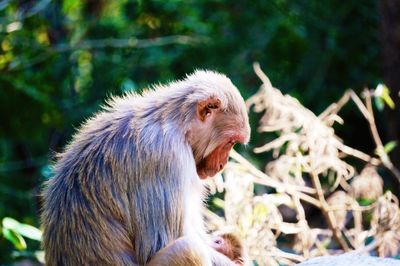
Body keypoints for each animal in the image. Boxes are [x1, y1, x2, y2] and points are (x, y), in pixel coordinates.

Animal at [42, 69, 252, 264]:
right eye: (230, 142)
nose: (222, 164)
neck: (176, 123)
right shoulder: (168, 157)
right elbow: (162, 243)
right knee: (187, 248)